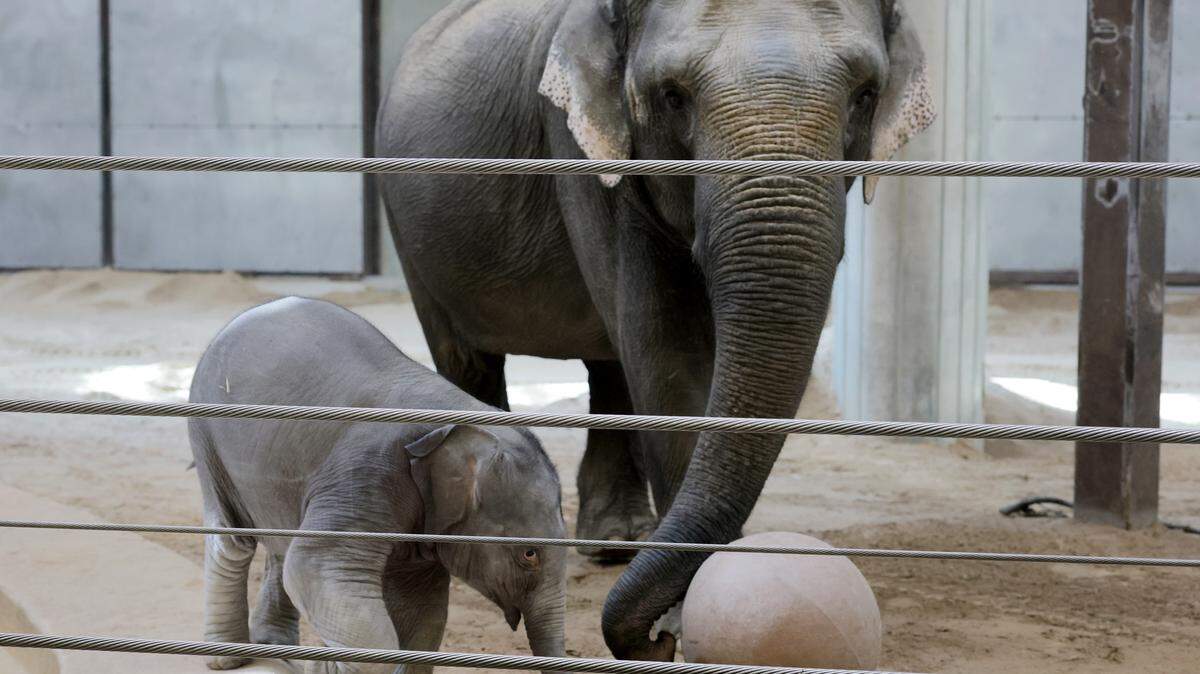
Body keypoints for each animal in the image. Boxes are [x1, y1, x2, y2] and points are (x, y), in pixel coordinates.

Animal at [188, 297, 567, 674]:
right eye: (529, 554)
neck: (462, 416)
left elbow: (423, 611)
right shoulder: (365, 472)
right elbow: (315, 566)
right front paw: (326, 665)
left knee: (281, 546)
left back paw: (278, 649)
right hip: (207, 438)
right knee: (233, 543)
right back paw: (229, 658)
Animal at [376, 0, 934, 661]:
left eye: (865, 94)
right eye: (672, 97)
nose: (656, 639)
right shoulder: (579, 146)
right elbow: (669, 350)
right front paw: (688, 606)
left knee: (610, 361)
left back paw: (618, 542)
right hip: (410, 232)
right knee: (469, 360)